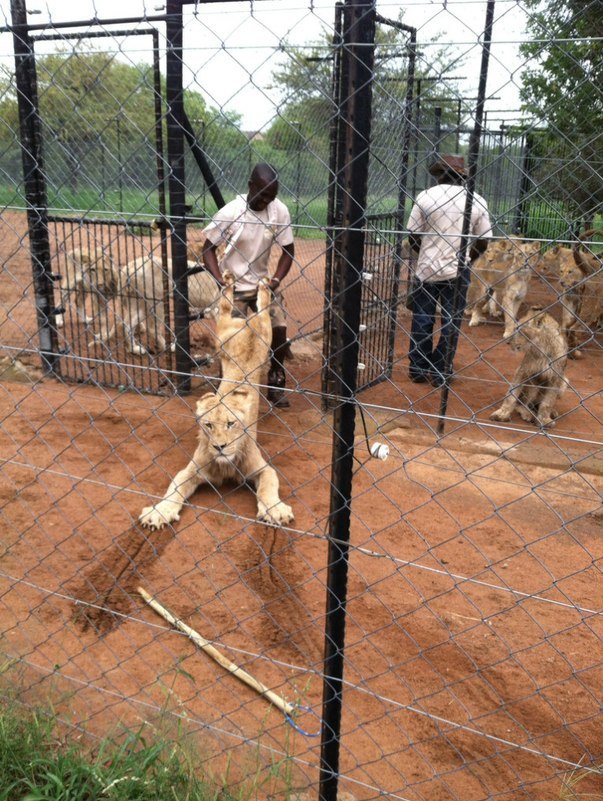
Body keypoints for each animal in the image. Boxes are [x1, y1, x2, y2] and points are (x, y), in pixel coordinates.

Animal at [140, 270, 294, 532]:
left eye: (231, 424)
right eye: (208, 425)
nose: (219, 447)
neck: (225, 464)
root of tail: (247, 323)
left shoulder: (263, 469)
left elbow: (268, 486)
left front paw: (276, 510)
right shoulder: (192, 469)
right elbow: (174, 488)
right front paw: (159, 512)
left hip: (265, 334)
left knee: (262, 309)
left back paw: (261, 287)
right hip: (223, 336)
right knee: (223, 308)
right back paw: (229, 281)